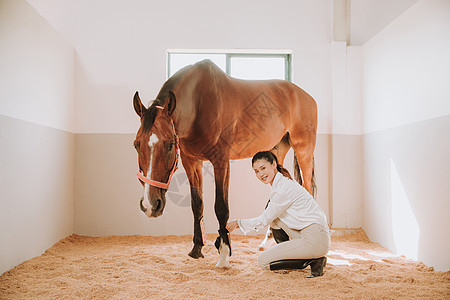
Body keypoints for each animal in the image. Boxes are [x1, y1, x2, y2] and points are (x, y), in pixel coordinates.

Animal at [132, 58, 318, 268]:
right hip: (277, 150)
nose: (150, 205)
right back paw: (267, 241)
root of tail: (306, 97)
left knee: (307, 188)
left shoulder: (220, 160)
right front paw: (197, 248)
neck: (198, 103)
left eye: (170, 144)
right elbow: (197, 204)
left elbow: (221, 207)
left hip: (304, 150)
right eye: (136, 145)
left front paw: (224, 253)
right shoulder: (191, 161)